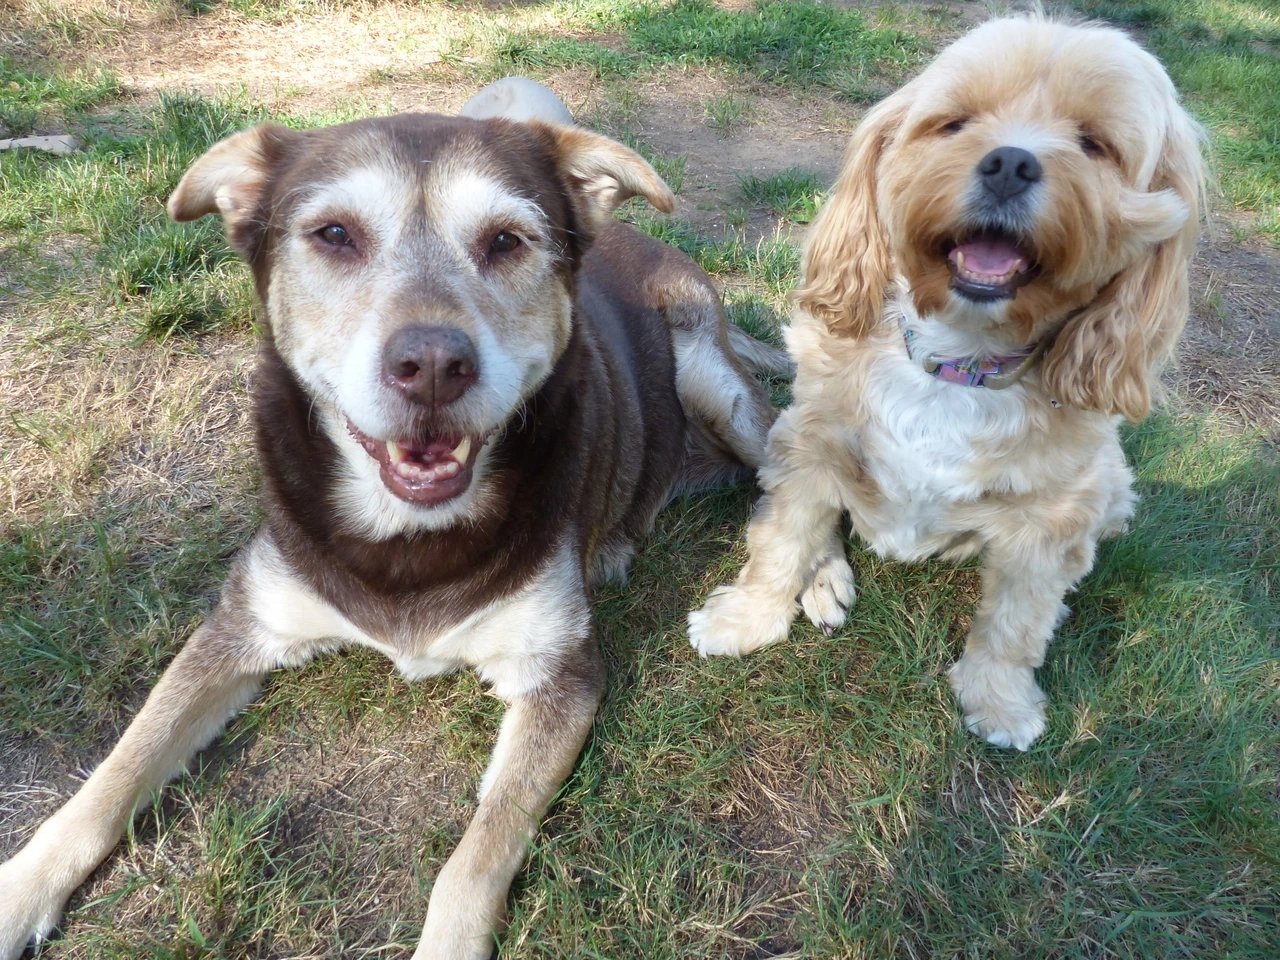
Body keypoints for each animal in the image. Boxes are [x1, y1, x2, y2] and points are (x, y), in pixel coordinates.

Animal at [0, 82, 778, 960]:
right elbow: (118, 767)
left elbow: (476, 856)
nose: (433, 366)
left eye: (506, 240)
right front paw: (21, 890)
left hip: (712, 378)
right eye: (334, 234)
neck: (407, 538)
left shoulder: (559, 674)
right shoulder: (240, 625)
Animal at [691, 16, 1198, 752]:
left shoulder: (1048, 521)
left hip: (1108, 490)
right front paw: (745, 621)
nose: (1011, 163)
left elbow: (1016, 621)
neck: (957, 365)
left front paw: (1000, 701)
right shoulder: (811, 445)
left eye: (1094, 143)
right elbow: (781, 542)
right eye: (955, 123)